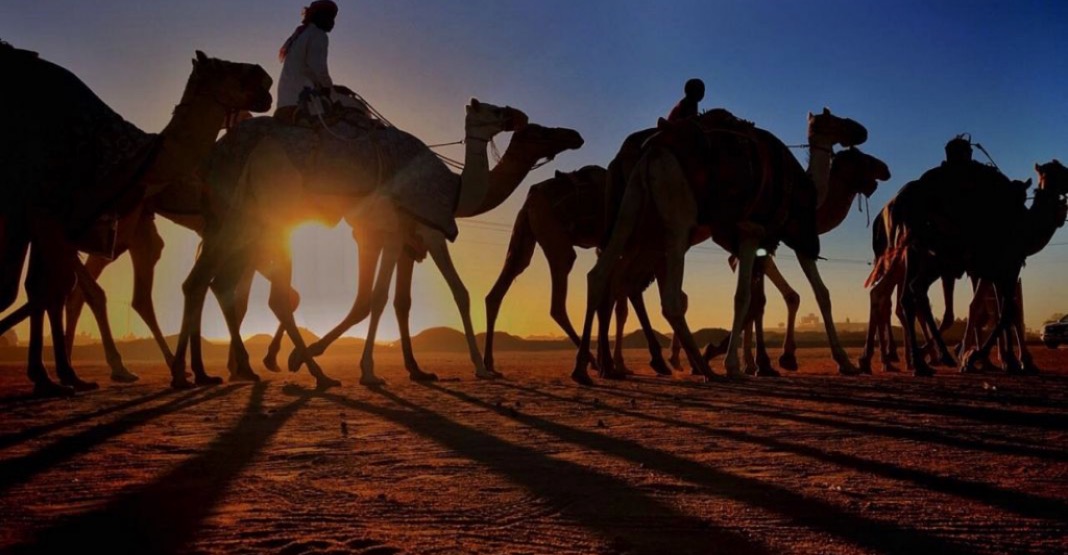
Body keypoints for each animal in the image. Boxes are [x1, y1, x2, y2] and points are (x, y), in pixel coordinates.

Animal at [0, 46, 273, 394]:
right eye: (224, 68)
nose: (264, 77)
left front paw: (220, 369)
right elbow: (214, 290)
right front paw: (230, 368)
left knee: (74, 290)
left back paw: (87, 371)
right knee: (88, 291)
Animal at [173, 97, 542, 388]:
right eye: (492, 109)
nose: (519, 116)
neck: (455, 191)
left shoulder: (390, 237)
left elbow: (385, 300)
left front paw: (413, 370)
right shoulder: (421, 232)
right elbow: (431, 295)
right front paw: (479, 368)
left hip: (239, 217)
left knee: (213, 283)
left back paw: (234, 369)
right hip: (269, 215)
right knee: (264, 293)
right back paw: (306, 373)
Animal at [576, 108, 867, 386]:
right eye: (833, 120)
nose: (861, 130)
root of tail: (653, 153)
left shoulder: (759, 241)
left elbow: (774, 298)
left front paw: (761, 362)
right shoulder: (766, 232)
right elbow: (753, 297)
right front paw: (739, 364)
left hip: (632, 212)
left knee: (602, 277)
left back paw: (592, 368)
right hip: (677, 220)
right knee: (668, 297)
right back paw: (697, 368)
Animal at [884, 160, 1068, 377]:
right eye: (1062, 170)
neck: (1025, 228)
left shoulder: (997, 272)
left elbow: (1004, 310)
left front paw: (1010, 361)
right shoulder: (1008, 266)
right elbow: (1006, 311)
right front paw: (976, 357)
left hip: (918, 253)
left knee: (911, 294)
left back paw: (925, 361)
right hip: (934, 255)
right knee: (917, 291)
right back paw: (933, 359)